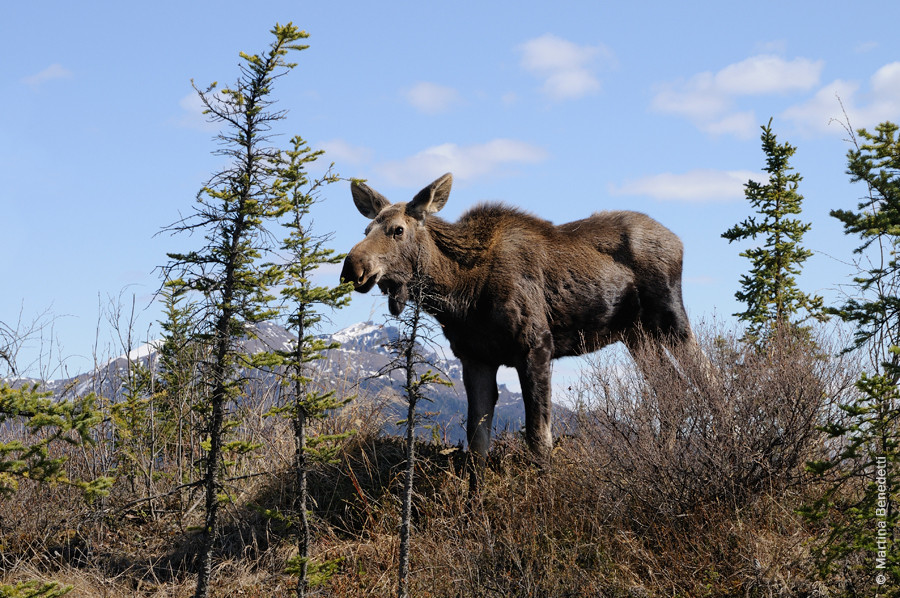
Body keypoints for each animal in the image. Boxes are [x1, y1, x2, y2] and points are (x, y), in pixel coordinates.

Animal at [340, 173, 696, 464]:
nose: (351, 268)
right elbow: (477, 447)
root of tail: (678, 240)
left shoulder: (536, 346)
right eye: (366, 229)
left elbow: (539, 440)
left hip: (671, 318)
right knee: (672, 390)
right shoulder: (475, 358)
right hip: (636, 334)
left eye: (397, 230)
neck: (460, 293)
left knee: (703, 376)